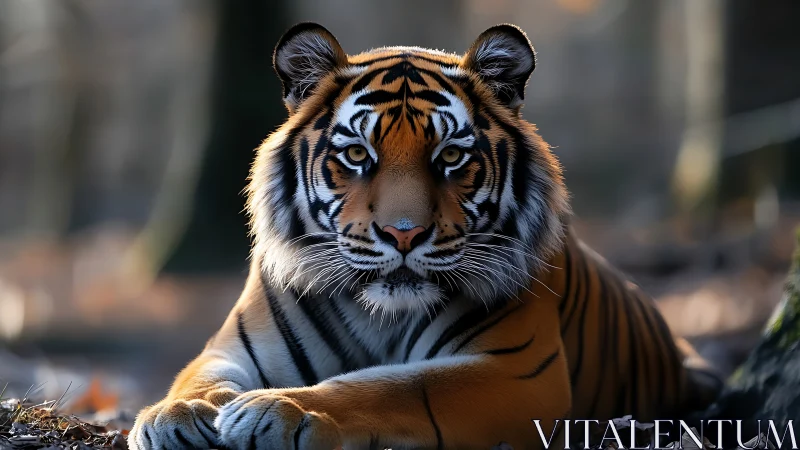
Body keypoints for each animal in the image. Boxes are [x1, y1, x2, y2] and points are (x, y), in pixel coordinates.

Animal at [128, 22, 722, 450]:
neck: (379, 316)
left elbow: (390, 385)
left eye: (451, 156)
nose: (403, 234)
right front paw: (173, 416)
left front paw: (281, 409)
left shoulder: (517, 369)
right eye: (357, 154)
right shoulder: (230, 347)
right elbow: (195, 378)